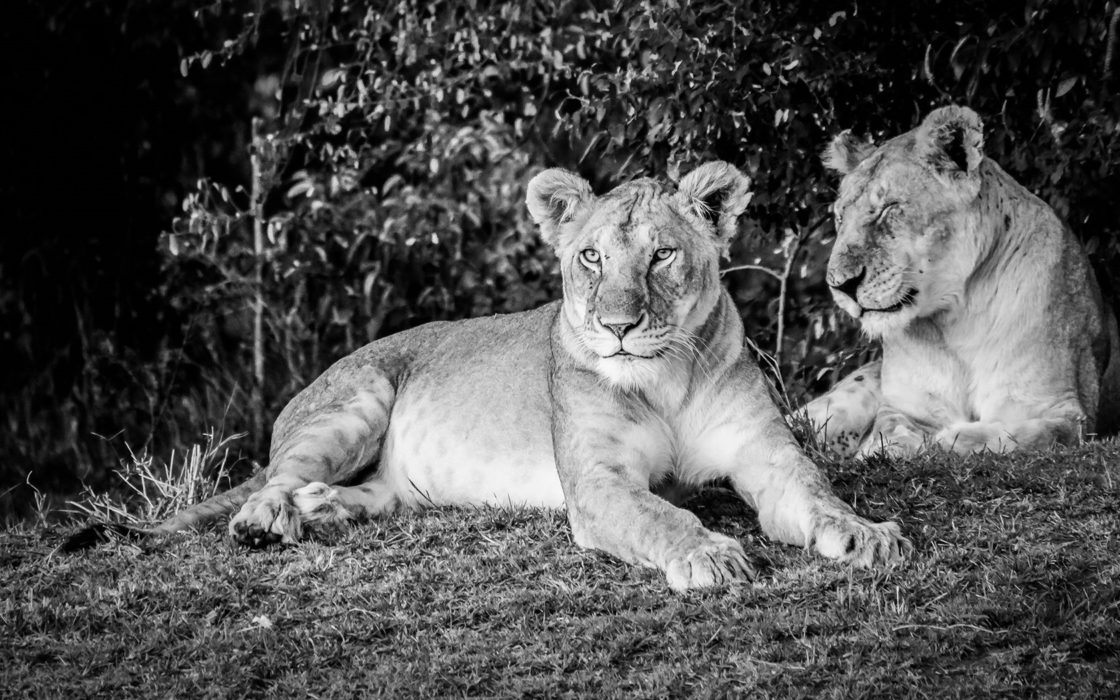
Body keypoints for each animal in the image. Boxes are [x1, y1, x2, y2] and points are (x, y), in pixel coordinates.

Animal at [65, 162, 909, 591]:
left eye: (662, 255)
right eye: (590, 257)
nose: (618, 326)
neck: (663, 376)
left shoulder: (766, 450)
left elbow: (815, 492)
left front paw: (867, 534)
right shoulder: (597, 483)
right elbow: (660, 515)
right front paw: (707, 554)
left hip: (390, 479)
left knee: (356, 496)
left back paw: (320, 512)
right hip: (356, 401)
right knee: (267, 486)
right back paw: (271, 520)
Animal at [801, 103, 1115, 456]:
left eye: (889, 208)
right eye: (840, 217)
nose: (840, 285)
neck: (955, 319)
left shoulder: (1065, 412)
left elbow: (1019, 436)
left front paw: (950, 438)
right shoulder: (903, 408)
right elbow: (889, 431)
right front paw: (882, 450)